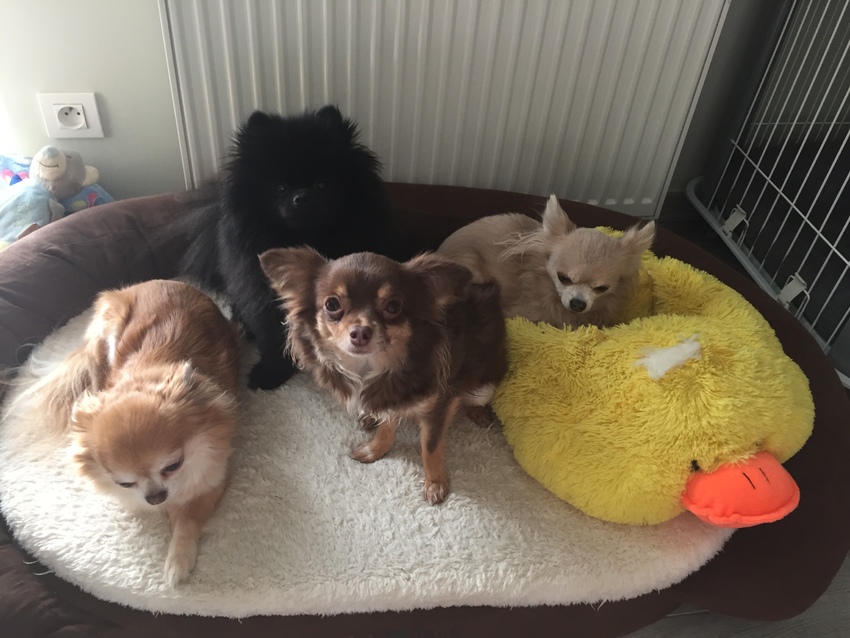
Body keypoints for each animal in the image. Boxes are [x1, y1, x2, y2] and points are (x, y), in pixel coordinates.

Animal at [22, 280, 241, 585]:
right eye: (125, 483)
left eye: (173, 465)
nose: (155, 497)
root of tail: (157, 282)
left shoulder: (211, 477)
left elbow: (187, 520)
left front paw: (178, 560)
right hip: (109, 328)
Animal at [178, 105, 414, 391]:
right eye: (280, 188)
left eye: (322, 184)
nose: (301, 197)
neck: (308, 240)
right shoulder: (265, 297)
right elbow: (273, 335)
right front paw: (270, 373)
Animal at [259, 248, 508, 504]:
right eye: (332, 304)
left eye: (392, 307)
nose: (360, 331)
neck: (371, 368)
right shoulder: (389, 397)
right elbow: (388, 425)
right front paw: (375, 449)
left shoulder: (439, 403)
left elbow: (430, 446)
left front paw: (435, 482)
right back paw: (369, 417)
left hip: (484, 386)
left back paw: (478, 413)